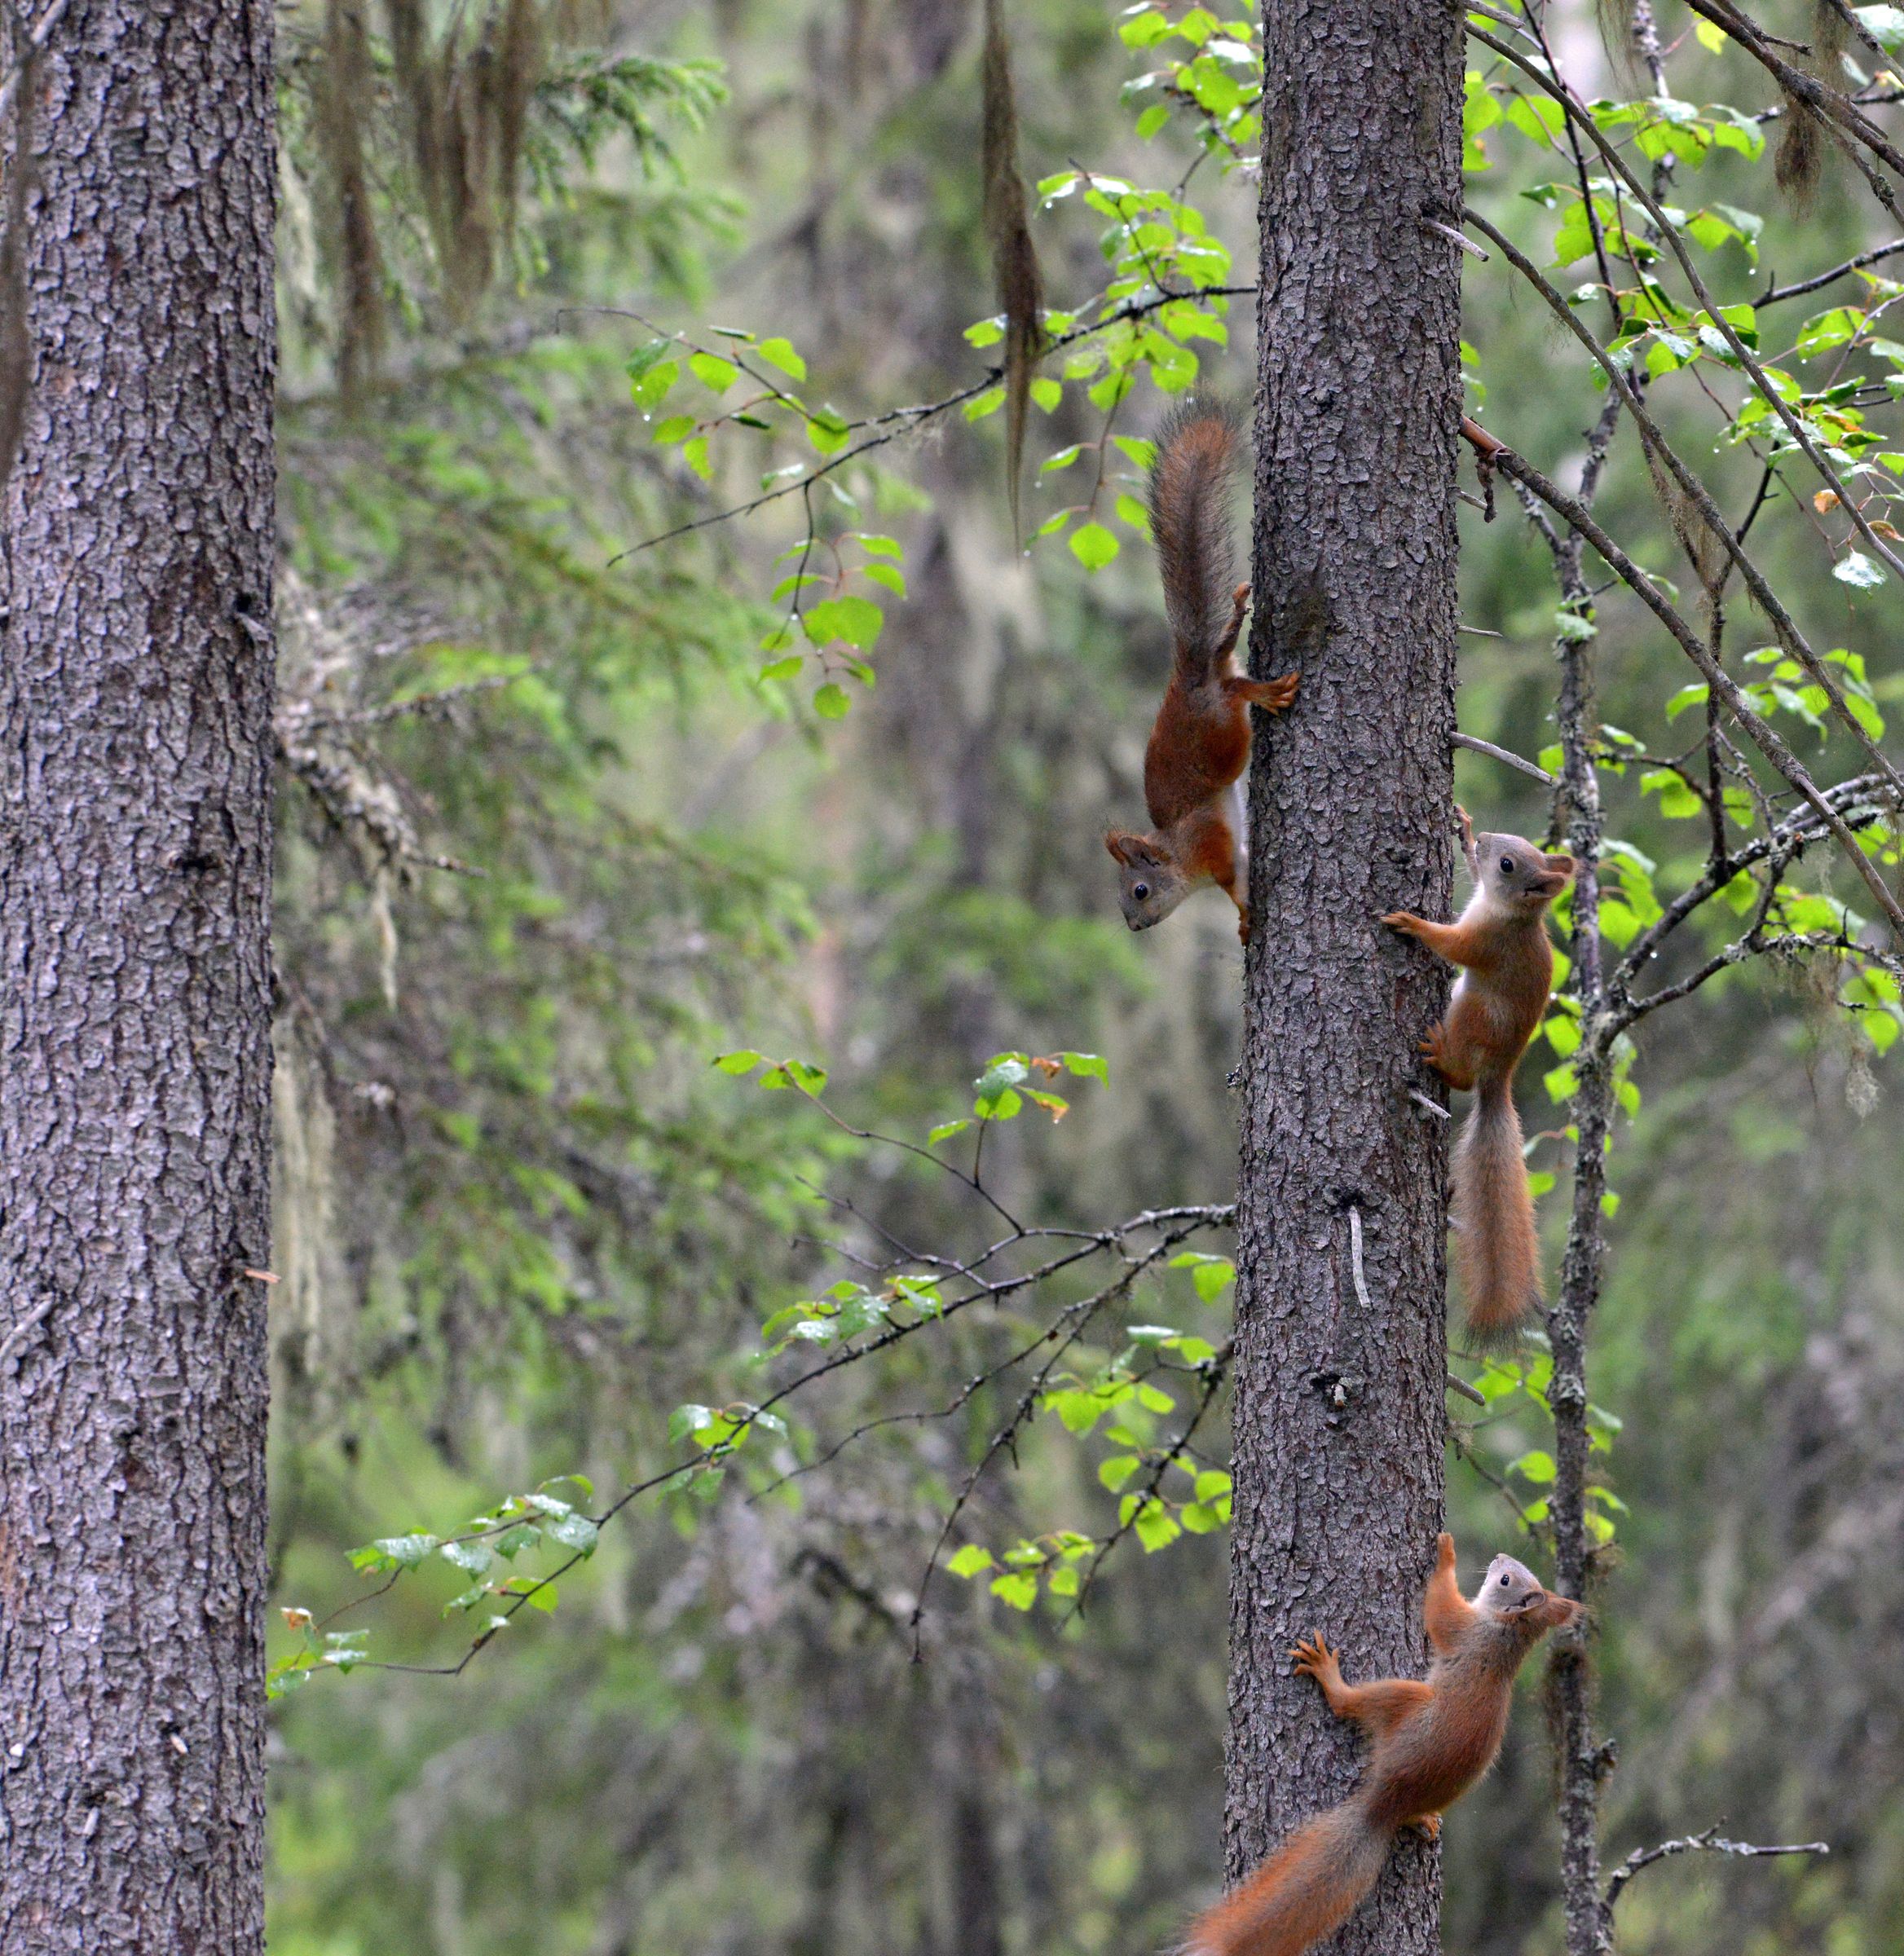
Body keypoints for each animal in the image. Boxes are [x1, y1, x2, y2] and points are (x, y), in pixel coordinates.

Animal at [1104, 401, 1299, 942]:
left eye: (1139, 891)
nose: (1134, 928)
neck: (1176, 850)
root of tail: (1191, 679)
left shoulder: (1211, 844)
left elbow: (1233, 880)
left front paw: (1244, 913)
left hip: (1219, 739)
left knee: (1232, 691)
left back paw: (1264, 693)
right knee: (1226, 660)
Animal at [1189, 1533, 1573, 1956]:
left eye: (1505, 1580)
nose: (1500, 1557)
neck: (1507, 1632)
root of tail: (1385, 1802)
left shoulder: (1465, 1630)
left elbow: (1438, 1607)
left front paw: (1445, 1554)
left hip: (1405, 1699)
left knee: (1348, 1704)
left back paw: (1329, 1675)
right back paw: (1423, 1820)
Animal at [1385, 809, 1573, 1346]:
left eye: (1508, 864)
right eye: (1509, 845)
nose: (1488, 838)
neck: (1508, 911)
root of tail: (1499, 1077)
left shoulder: (1484, 942)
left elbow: (1452, 944)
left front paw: (1412, 923)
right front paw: (1465, 832)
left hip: (1472, 1014)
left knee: (1465, 1078)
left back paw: (1444, 1059)